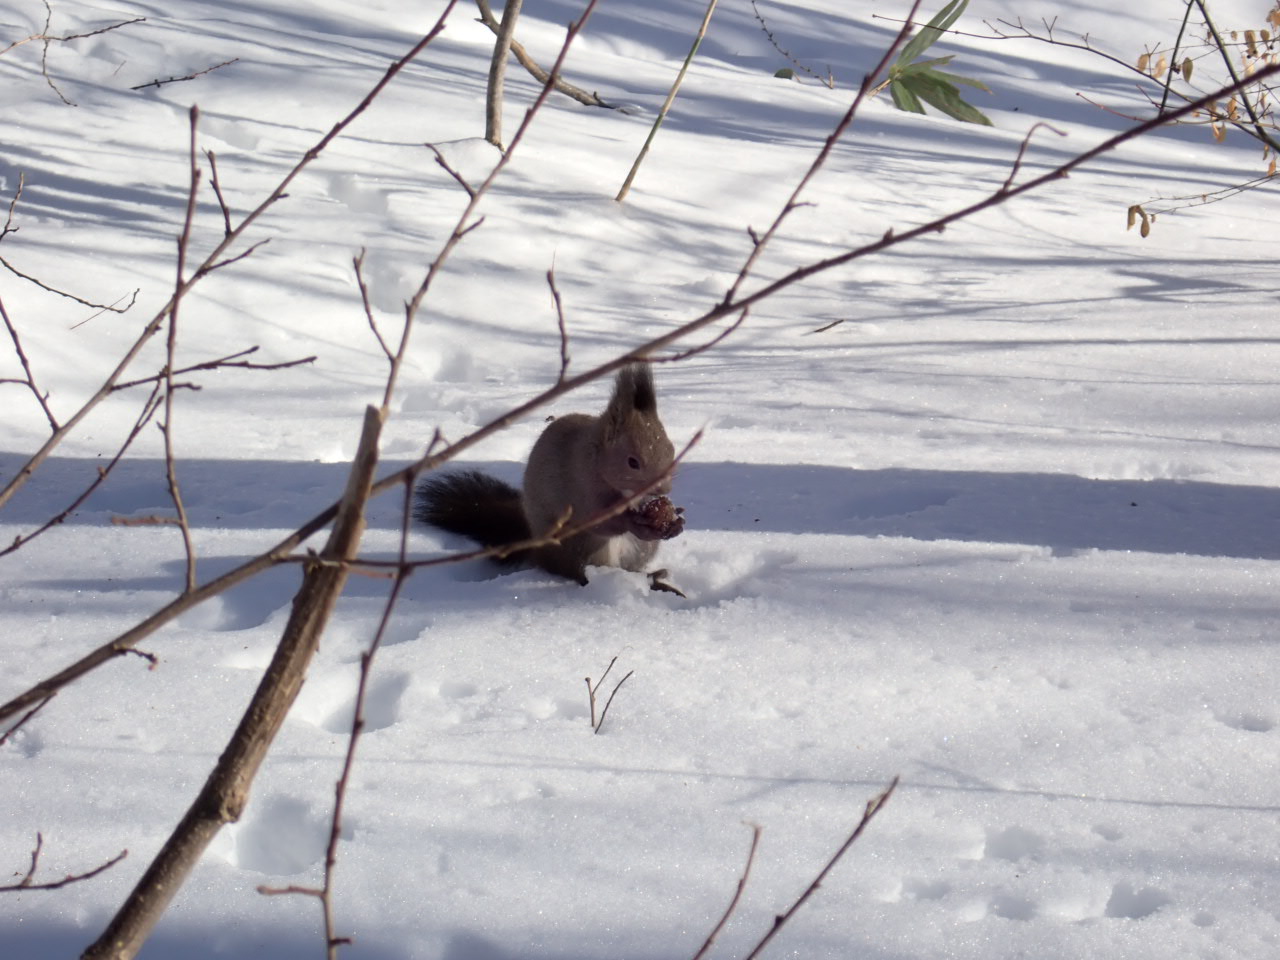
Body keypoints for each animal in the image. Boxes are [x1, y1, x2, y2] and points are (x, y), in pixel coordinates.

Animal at [414, 363, 686, 590]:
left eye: (671, 450)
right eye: (632, 462)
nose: (663, 490)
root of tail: (538, 550)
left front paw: (676, 520)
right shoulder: (582, 488)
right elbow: (600, 521)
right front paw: (635, 522)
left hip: (641, 551)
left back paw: (653, 577)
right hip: (585, 548)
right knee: (583, 572)